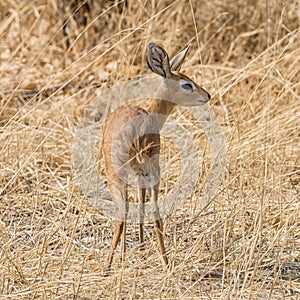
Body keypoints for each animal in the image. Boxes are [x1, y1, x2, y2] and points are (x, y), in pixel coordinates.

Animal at [102, 42, 210, 274]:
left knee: (124, 214)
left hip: (119, 175)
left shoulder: (137, 174)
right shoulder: (141, 173)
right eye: (187, 84)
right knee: (153, 214)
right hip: (150, 172)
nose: (207, 95)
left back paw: (108, 265)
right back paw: (164, 263)